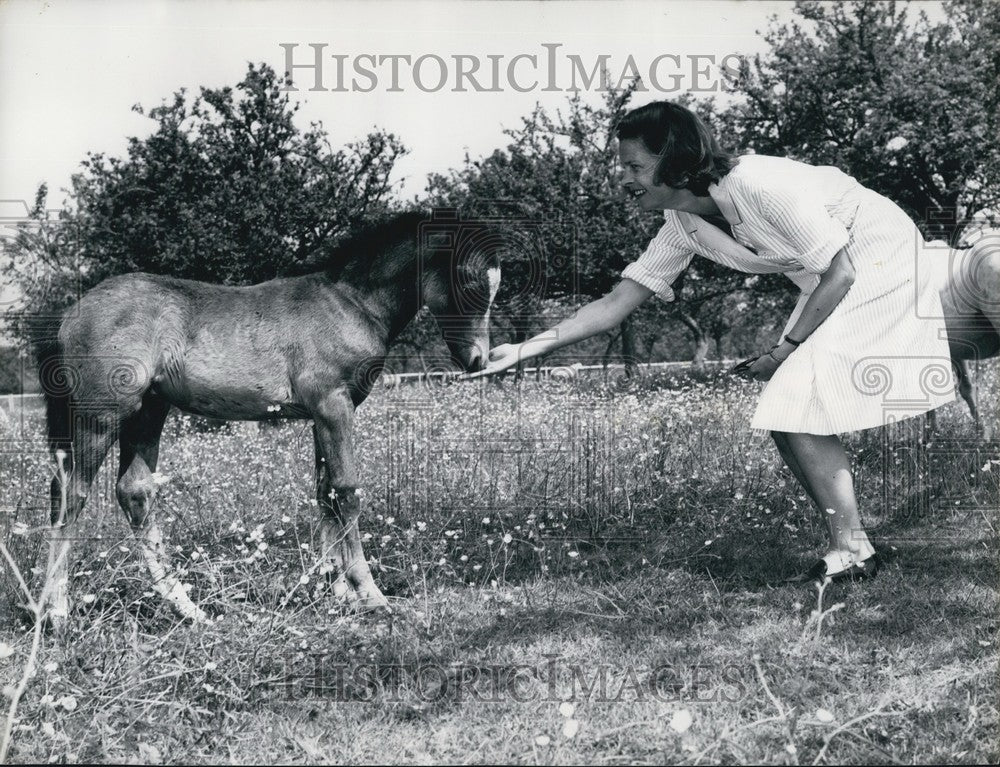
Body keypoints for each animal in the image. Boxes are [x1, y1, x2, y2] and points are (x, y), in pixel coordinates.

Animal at [32, 209, 503, 626]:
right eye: (468, 280)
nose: (478, 360)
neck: (350, 303)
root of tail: (70, 315)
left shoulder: (320, 415)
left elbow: (324, 494)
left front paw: (337, 592)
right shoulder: (333, 405)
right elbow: (347, 492)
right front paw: (370, 595)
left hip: (148, 412)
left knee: (135, 493)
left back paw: (190, 611)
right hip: (101, 416)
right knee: (70, 495)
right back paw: (55, 613)